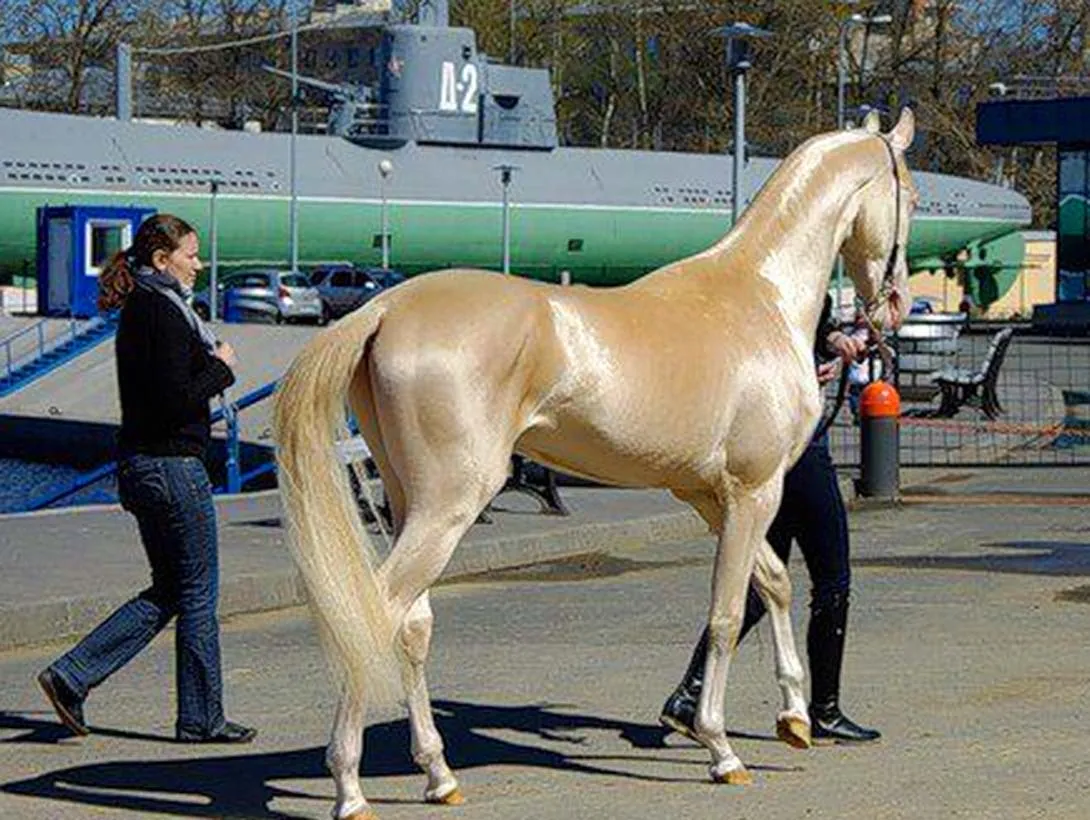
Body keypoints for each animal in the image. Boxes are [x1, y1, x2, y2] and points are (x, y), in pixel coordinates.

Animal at [270, 110, 911, 820]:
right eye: (908, 193)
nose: (897, 304)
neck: (757, 297)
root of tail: (384, 307)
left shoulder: (711, 496)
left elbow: (770, 584)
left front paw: (794, 716)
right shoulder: (753, 491)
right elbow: (724, 613)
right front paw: (722, 750)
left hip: (412, 504)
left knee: (412, 626)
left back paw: (438, 775)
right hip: (448, 507)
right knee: (373, 615)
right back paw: (350, 789)